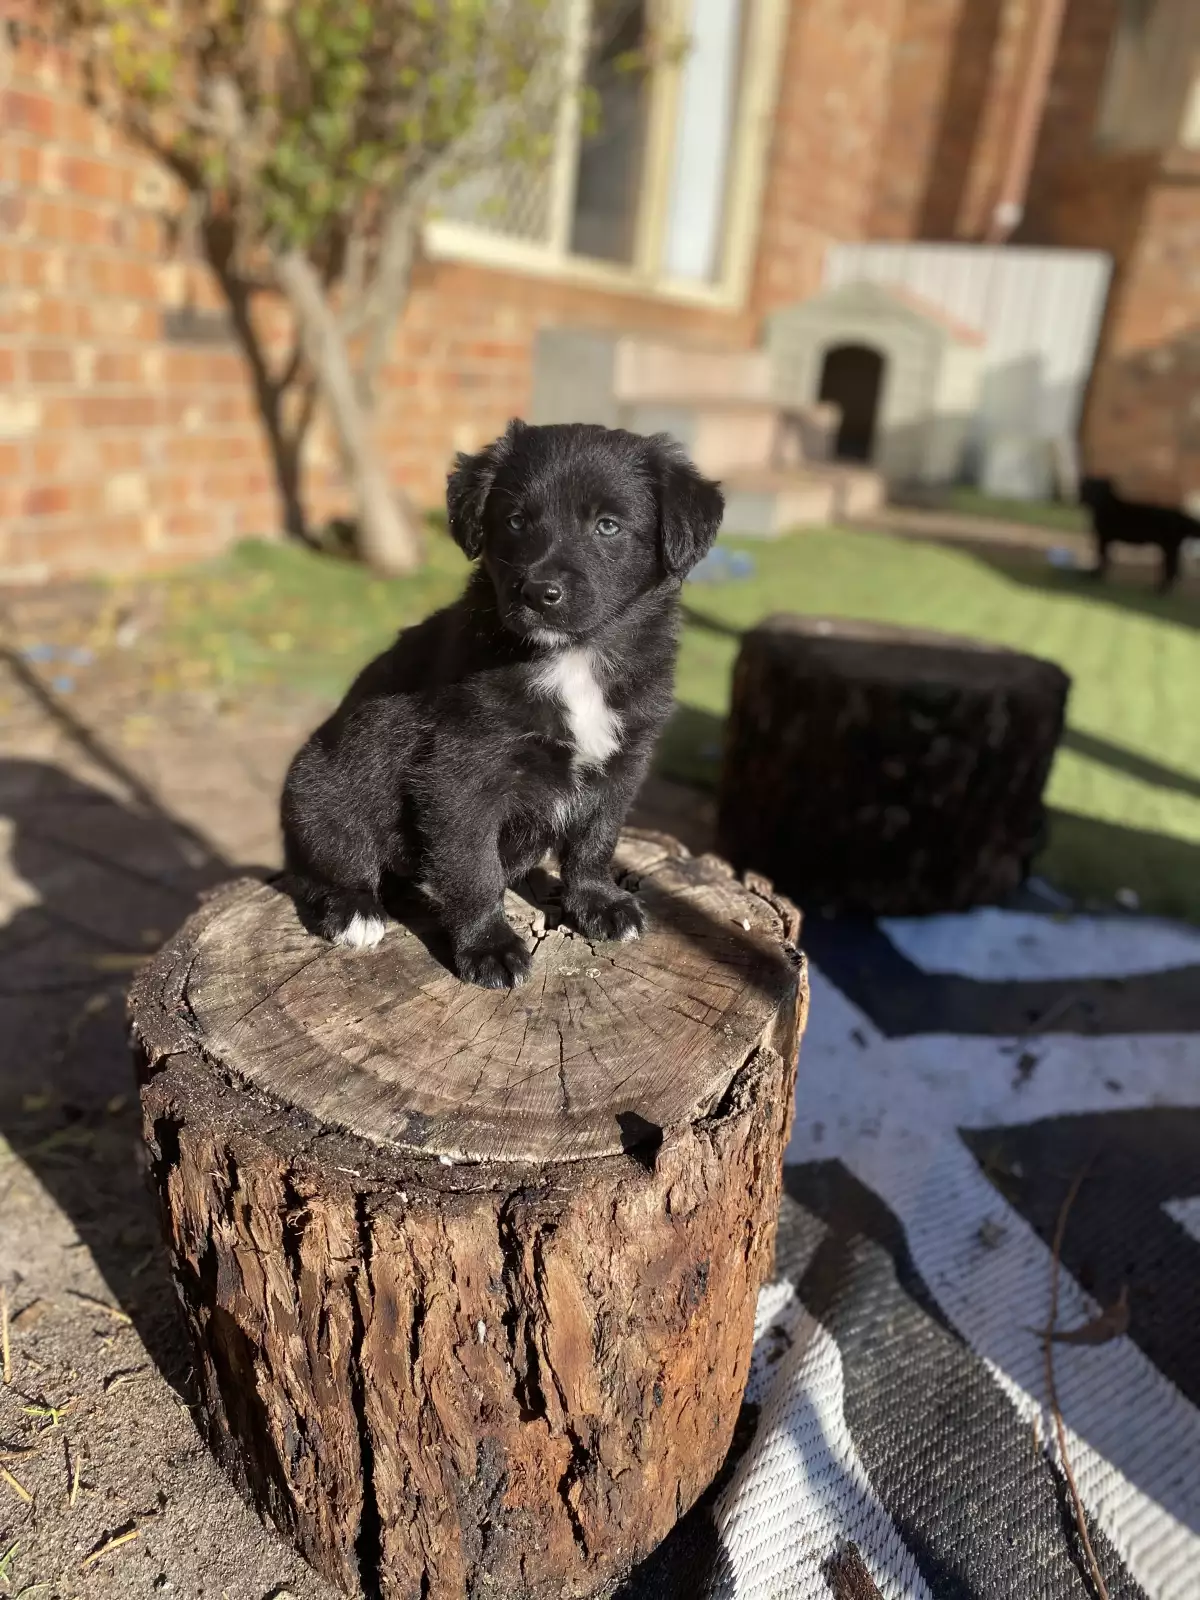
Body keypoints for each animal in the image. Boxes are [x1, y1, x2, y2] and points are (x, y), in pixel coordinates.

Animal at [281, 420, 724, 990]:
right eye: (515, 521)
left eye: (608, 526)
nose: (539, 592)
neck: (574, 657)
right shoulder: (461, 773)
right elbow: (473, 868)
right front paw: (488, 947)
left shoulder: (624, 760)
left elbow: (597, 839)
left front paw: (598, 903)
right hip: (321, 791)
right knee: (321, 867)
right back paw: (354, 910)